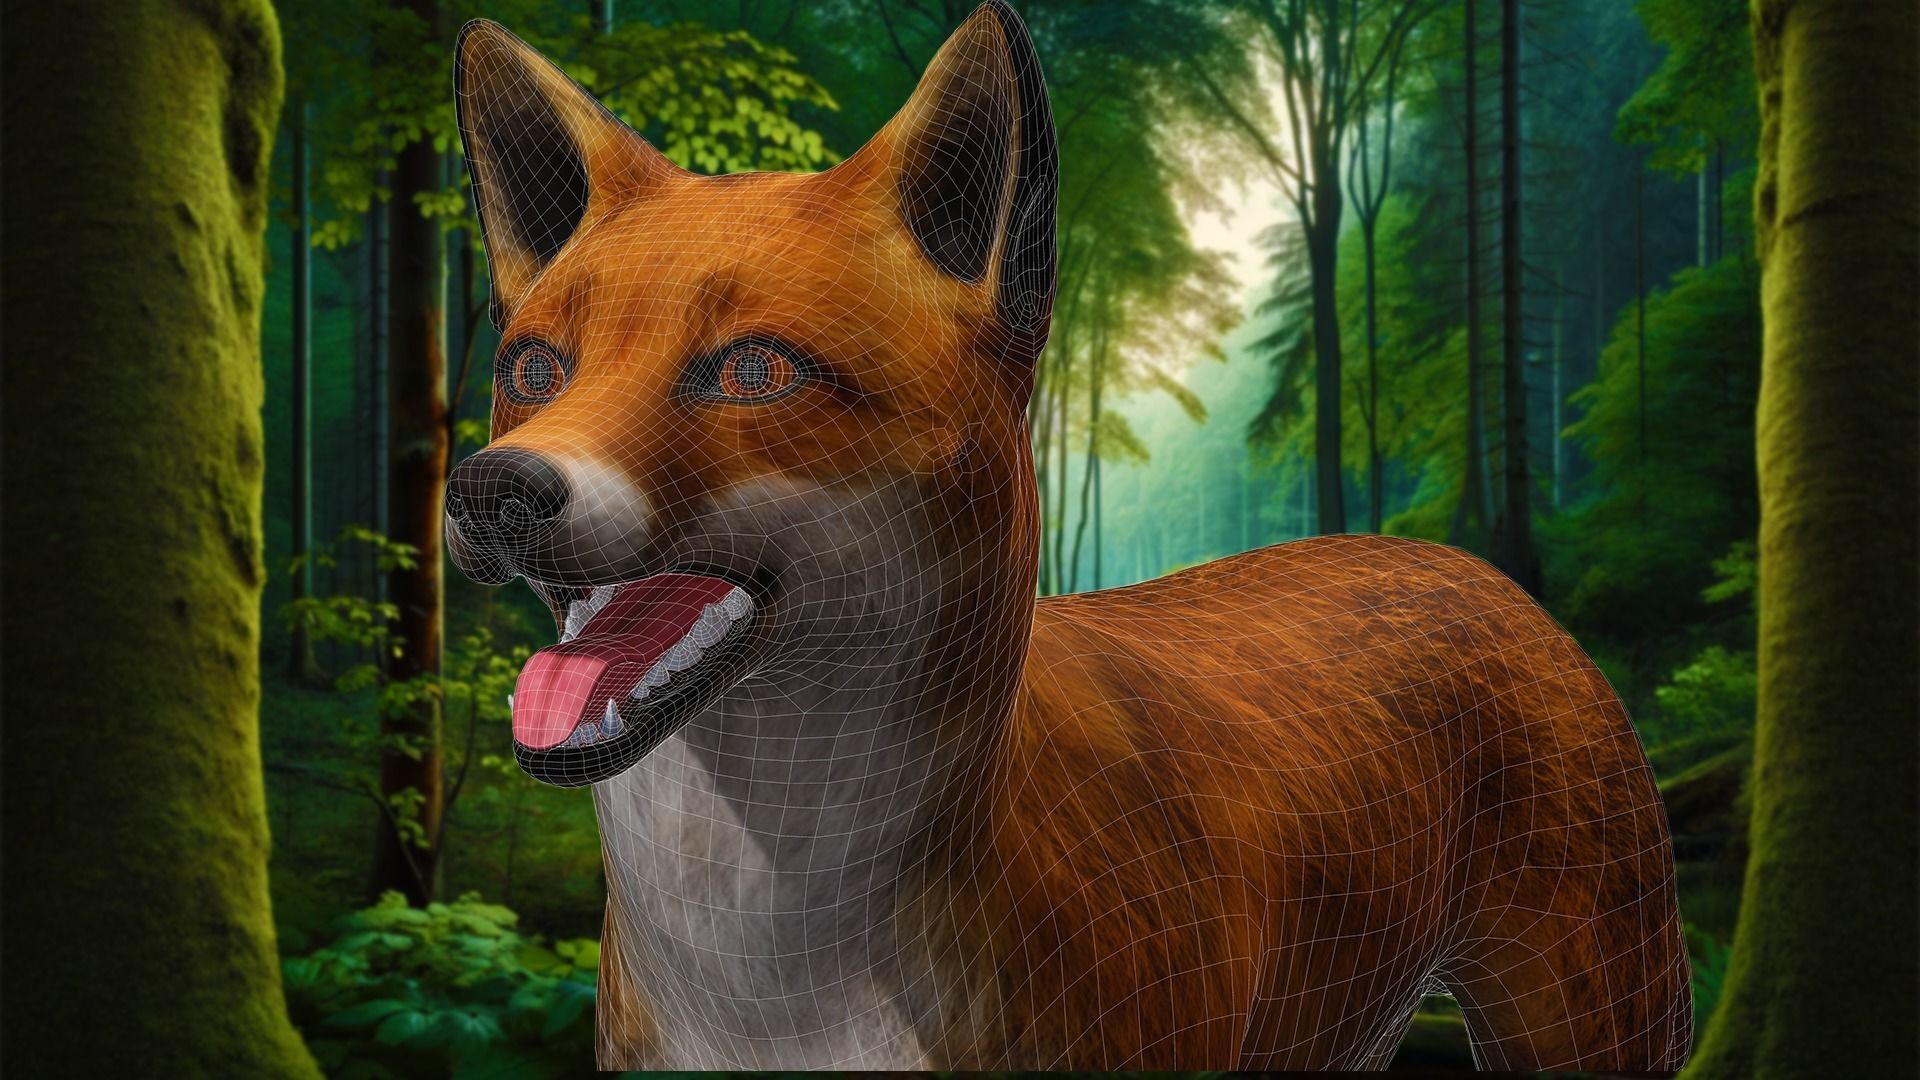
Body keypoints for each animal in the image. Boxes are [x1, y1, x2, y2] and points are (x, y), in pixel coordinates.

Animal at [443, 2, 1691, 1071]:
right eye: (534, 370)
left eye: (754, 369)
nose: (490, 491)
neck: (779, 990)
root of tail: (1452, 559)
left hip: (1584, 1022)